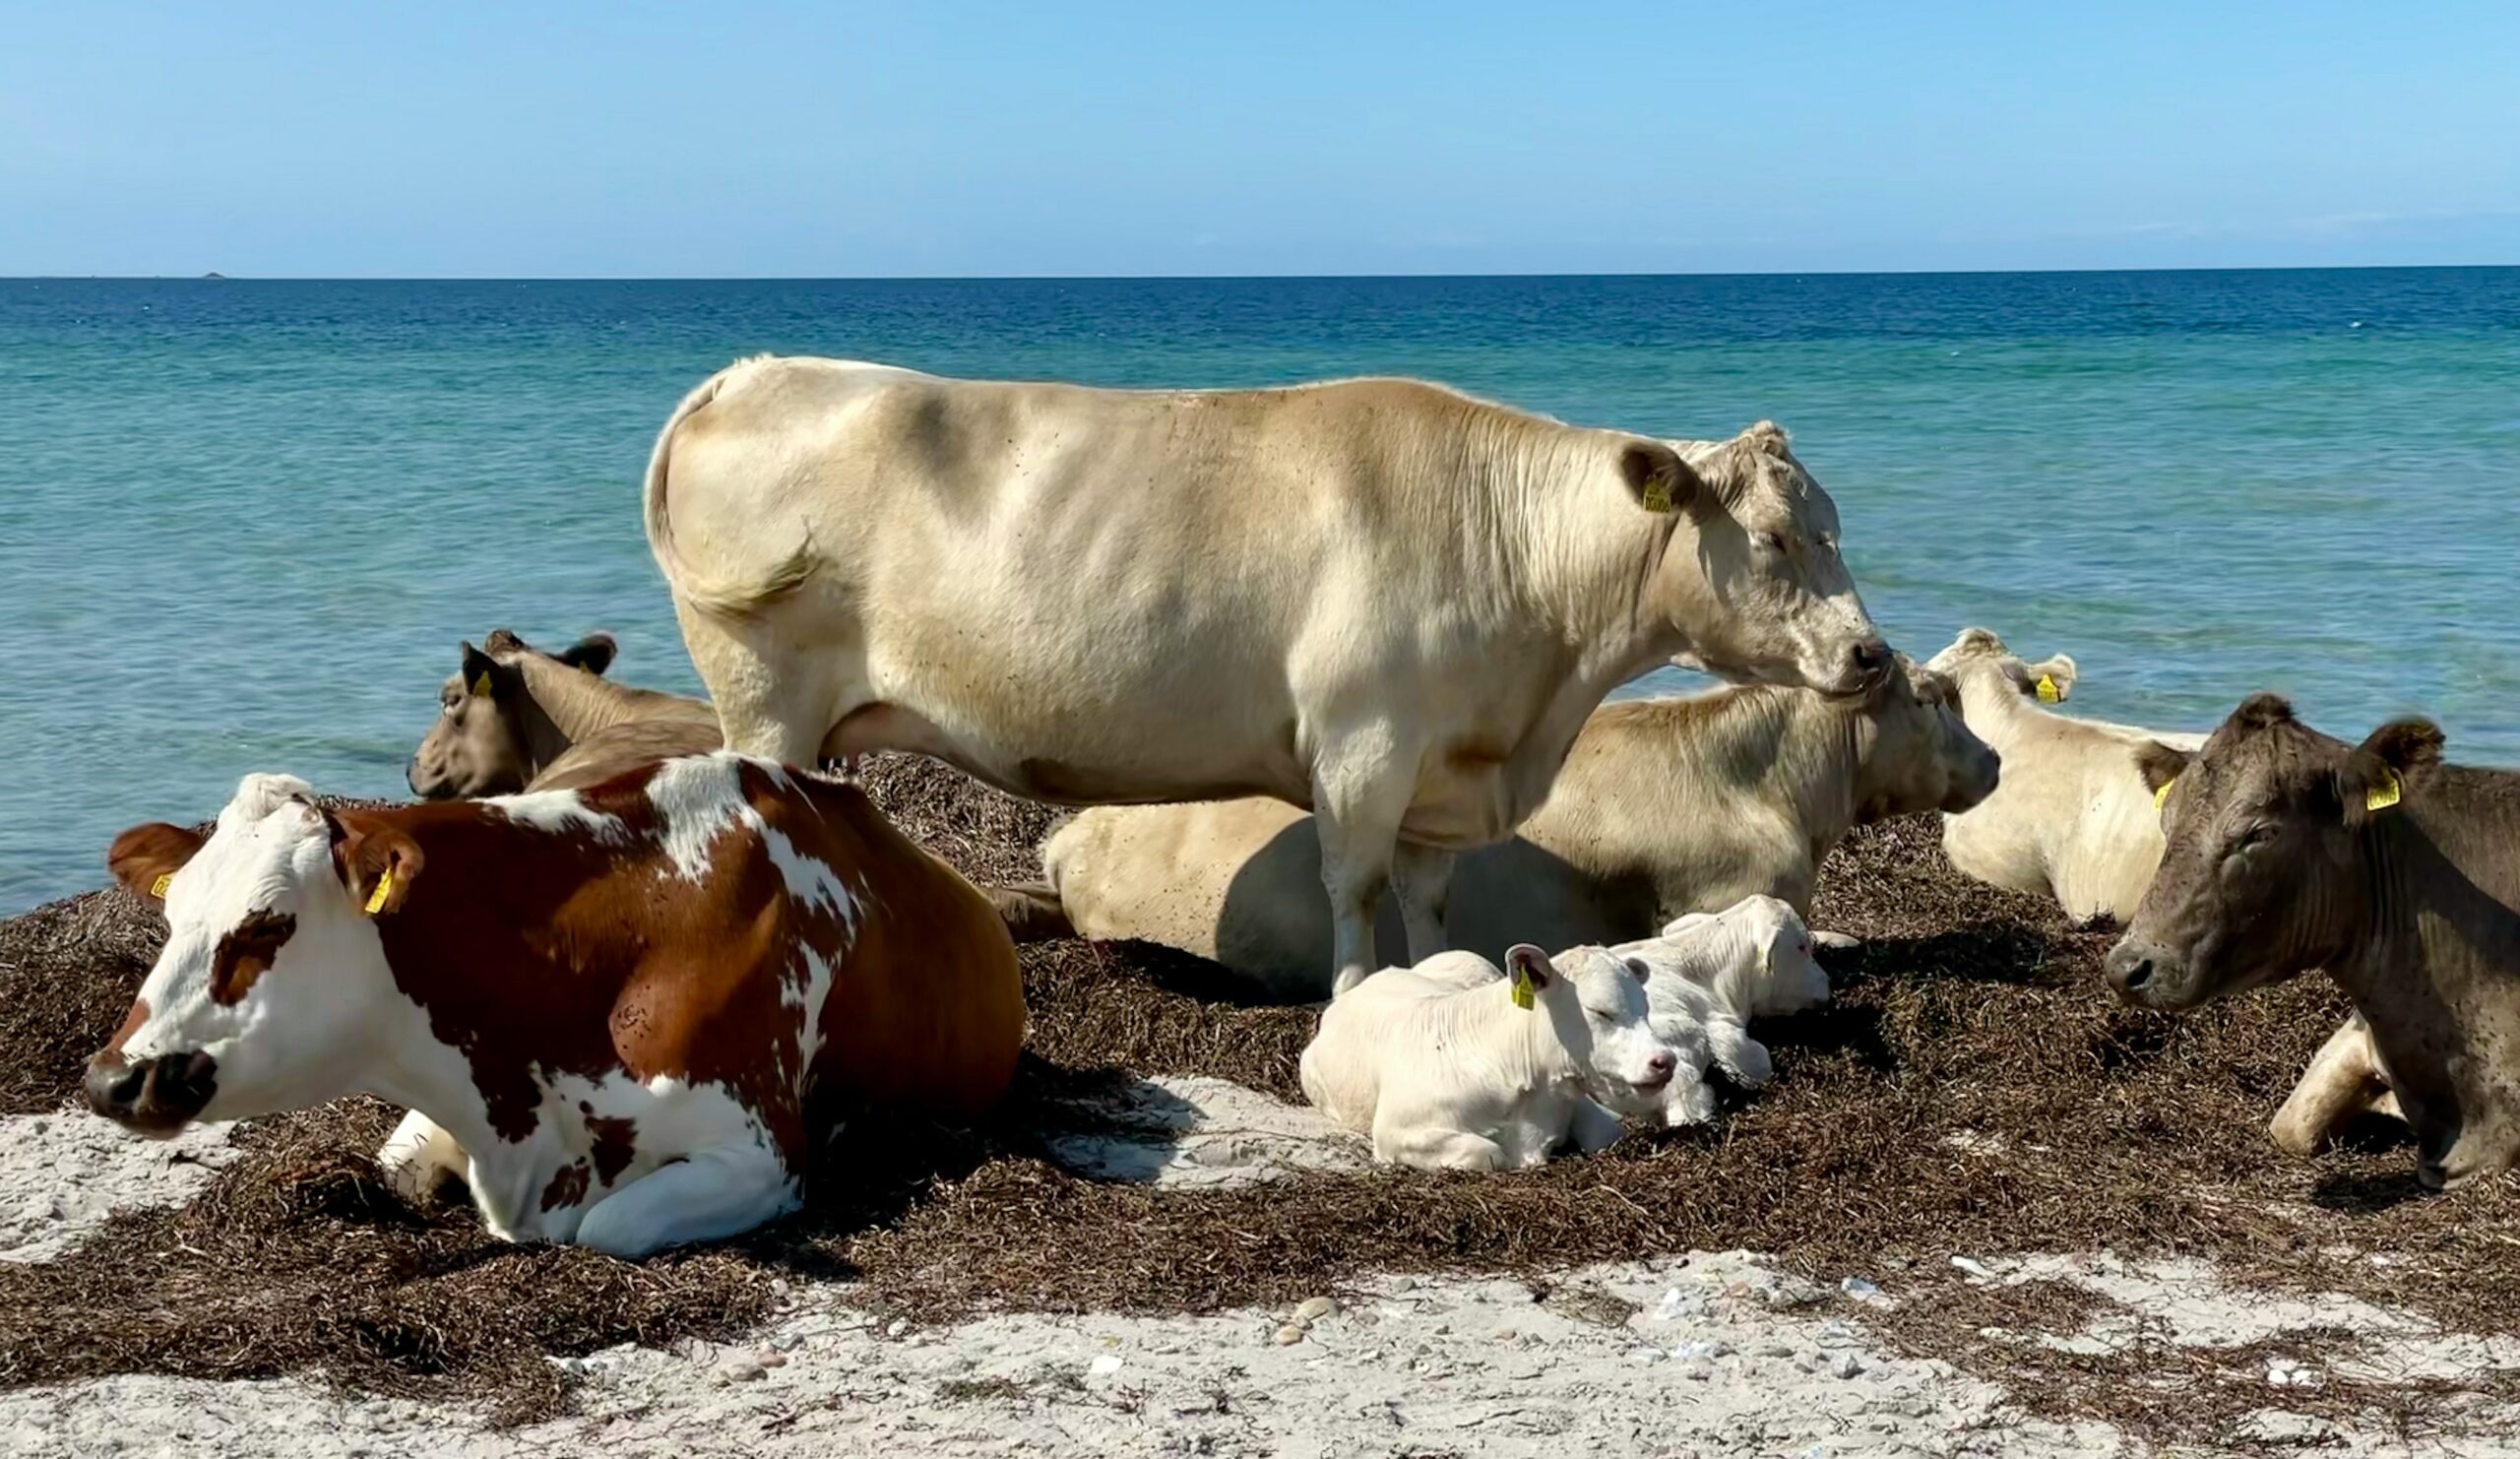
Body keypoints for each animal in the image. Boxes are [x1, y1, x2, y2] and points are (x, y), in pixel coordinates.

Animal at [85, 754, 1026, 1255]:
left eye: (267, 925)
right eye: (171, 913)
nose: (111, 1079)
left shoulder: (760, 1152)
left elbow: (607, 1226)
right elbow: (384, 1167)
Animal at [643, 357, 1888, 994]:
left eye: (1834, 525)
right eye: (1772, 537)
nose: (1870, 653)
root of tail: (754, 371)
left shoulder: (1439, 768)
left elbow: (1429, 898)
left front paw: (1444, 981)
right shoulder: (1362, 743)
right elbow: (1355, 887)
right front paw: (1351, 998)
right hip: (760, 695)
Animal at [1298, 944, 1680, 1170]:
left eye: (1645, 1007)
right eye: (1600, 1011)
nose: (1664, 1060)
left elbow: (1605, 1132)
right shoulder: (1397, 1130)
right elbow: (1489, 1152)